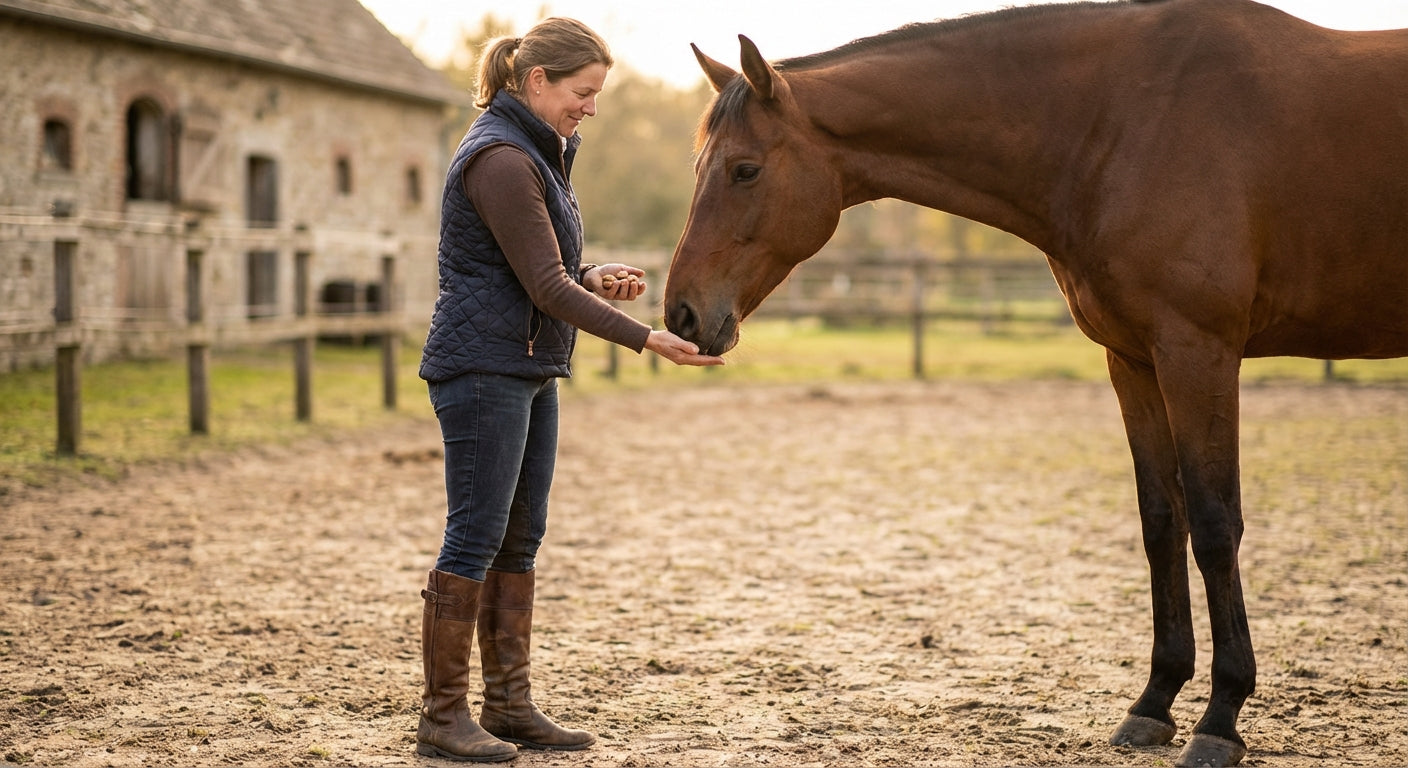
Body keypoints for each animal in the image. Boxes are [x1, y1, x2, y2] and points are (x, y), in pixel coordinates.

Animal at [662, 1, 1408, 765]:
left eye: (745, 170)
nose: (681, 313)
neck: (1129, 119)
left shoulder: (1198, 352)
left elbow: (1213, 524)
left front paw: (1221, 717)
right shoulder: (1134, 360)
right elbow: (1161, 521)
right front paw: (1154, 702)